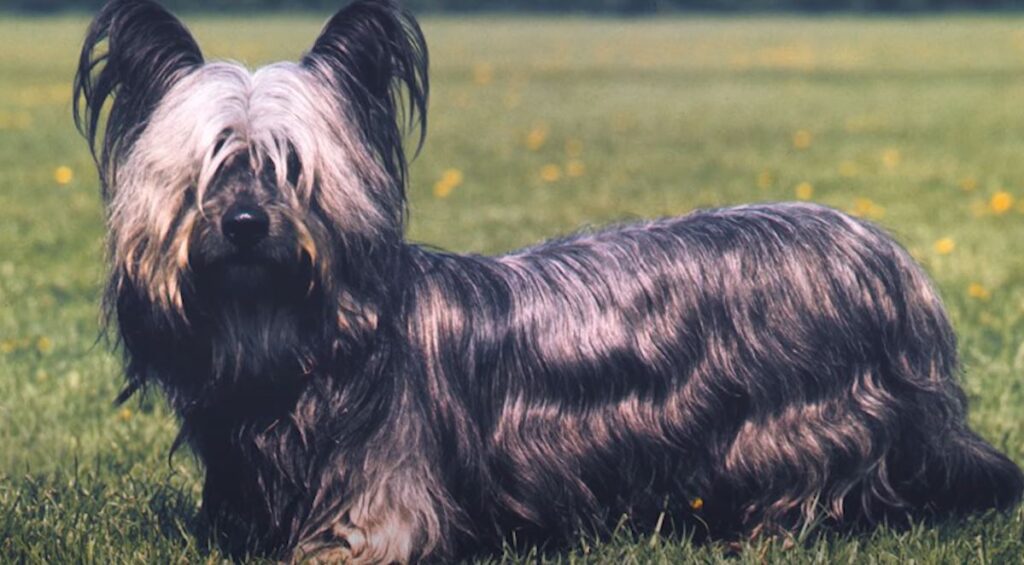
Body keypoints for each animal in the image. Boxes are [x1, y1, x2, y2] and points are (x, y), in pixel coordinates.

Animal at [75, 1, 1024, 560]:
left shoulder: (379, 508)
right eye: (210, 167)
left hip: (803, 422)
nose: (243, 224)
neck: (293, 340)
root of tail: (890, 260)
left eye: (287, 167)